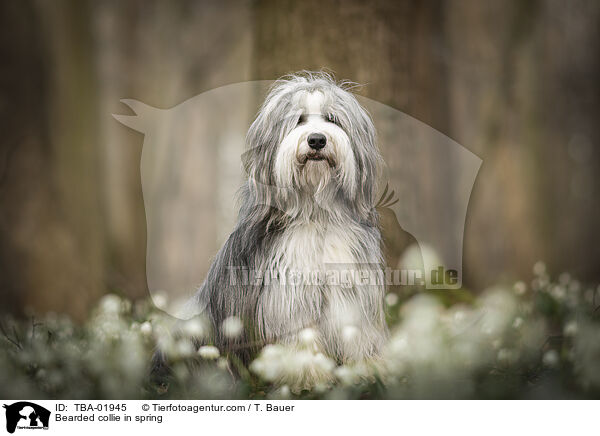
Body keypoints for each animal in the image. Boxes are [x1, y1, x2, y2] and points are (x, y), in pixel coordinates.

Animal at [155, 72, 386, 388]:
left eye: (332, 118)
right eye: (298, 119)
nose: (316, 139)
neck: (316, 213)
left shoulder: (350, 283)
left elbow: (357, 331)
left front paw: (365, 369)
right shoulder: (289, 292)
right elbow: (300, 333)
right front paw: (308, 373)